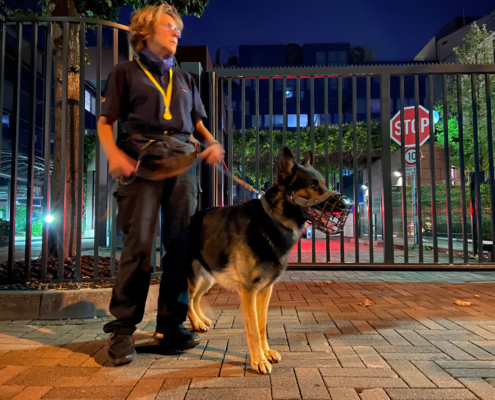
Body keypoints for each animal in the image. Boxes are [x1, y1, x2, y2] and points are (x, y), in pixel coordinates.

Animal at [188, 147, 340, 376]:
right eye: (312, 185)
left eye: (322, 182)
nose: (346, 204)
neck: (274, 220)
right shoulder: (248, 291)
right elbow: (252, 329)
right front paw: (258, 360)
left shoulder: (265, 290)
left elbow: (261, 326)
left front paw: (266, 353)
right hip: (191, 277)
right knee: (187, 301)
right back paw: (194, 323)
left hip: (208, 279)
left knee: (195, 299)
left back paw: (200, 321)